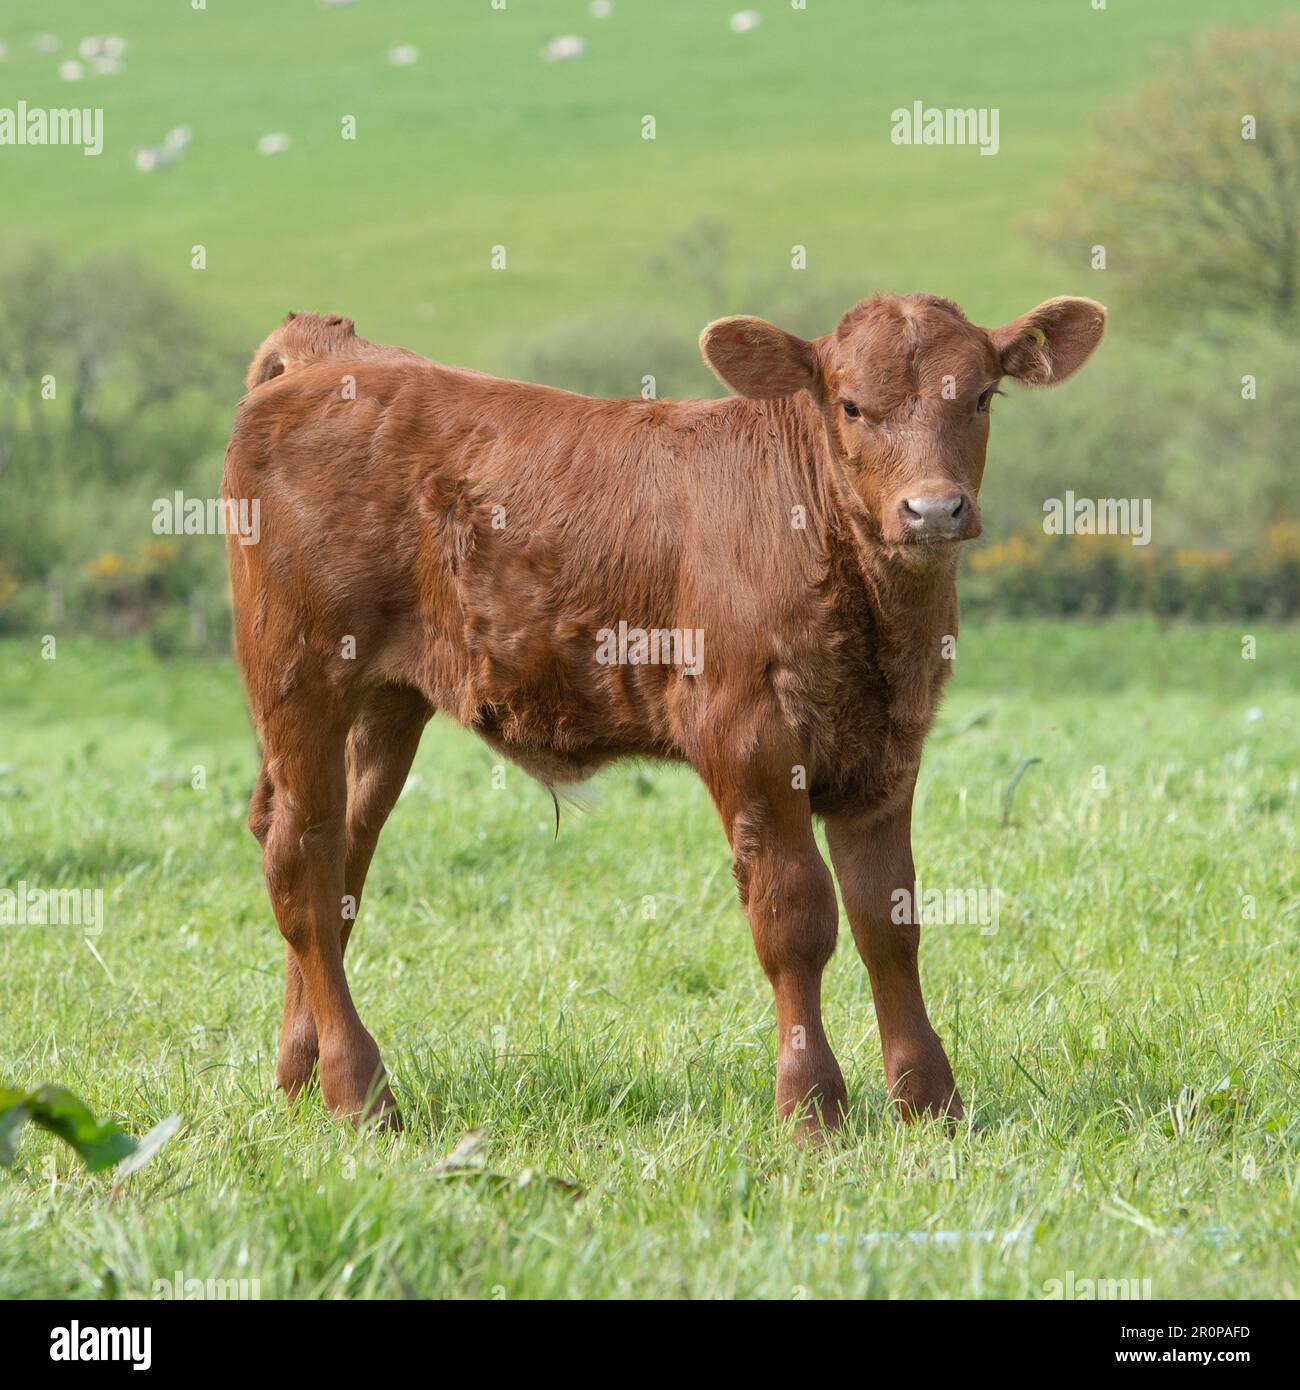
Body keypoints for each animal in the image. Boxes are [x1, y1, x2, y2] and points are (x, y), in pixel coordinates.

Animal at [222, 293, 1105, 1139]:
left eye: (983, 395)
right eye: (850, 405)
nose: (933, 510)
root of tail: (334, 350)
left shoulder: (888, 751)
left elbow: (888, 921)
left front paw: (932, 1106)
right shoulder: (746, 736)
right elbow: (794, 916)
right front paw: (812, 1109)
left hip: (384, 702)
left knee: (341, 856)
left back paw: (301, 1077)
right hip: (299, 676)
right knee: (301, 860)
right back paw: (360, 1094)